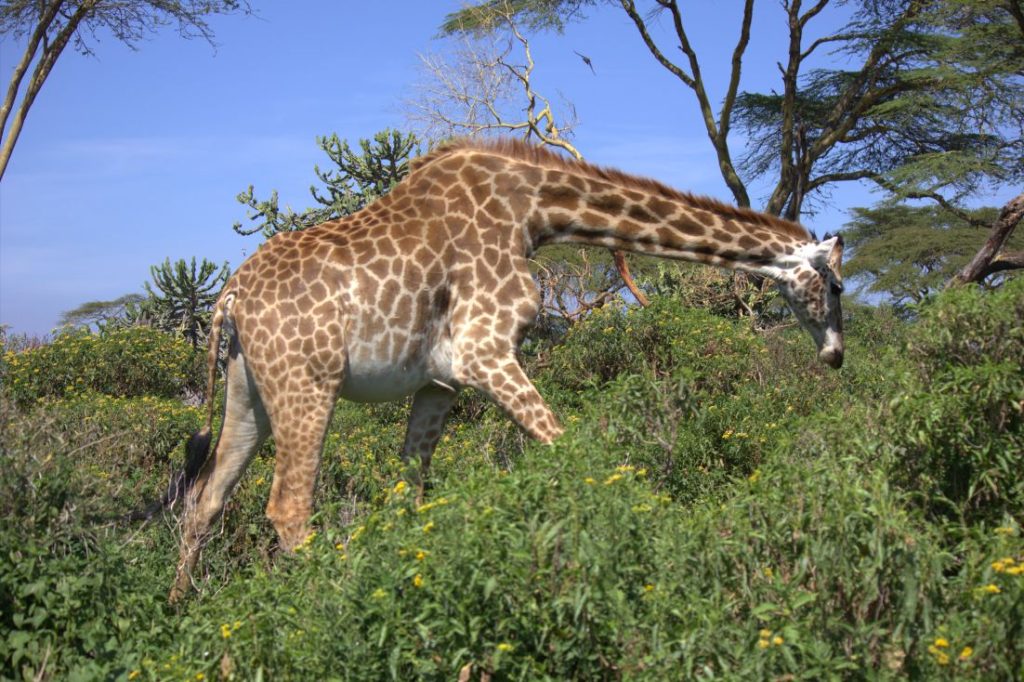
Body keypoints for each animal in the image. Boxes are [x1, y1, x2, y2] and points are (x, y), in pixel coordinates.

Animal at [162, 138, 844, 601]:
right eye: (835, 284)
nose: (836, 355)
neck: (534, 212)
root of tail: (231, 295)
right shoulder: (484, 352)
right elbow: (575, 451)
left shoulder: (438, 382)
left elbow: (411, 494)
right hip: (308, 384)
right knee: (287, 508)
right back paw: (325, 610)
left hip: (249, 391)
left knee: (206, 499)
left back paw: (178, 612)